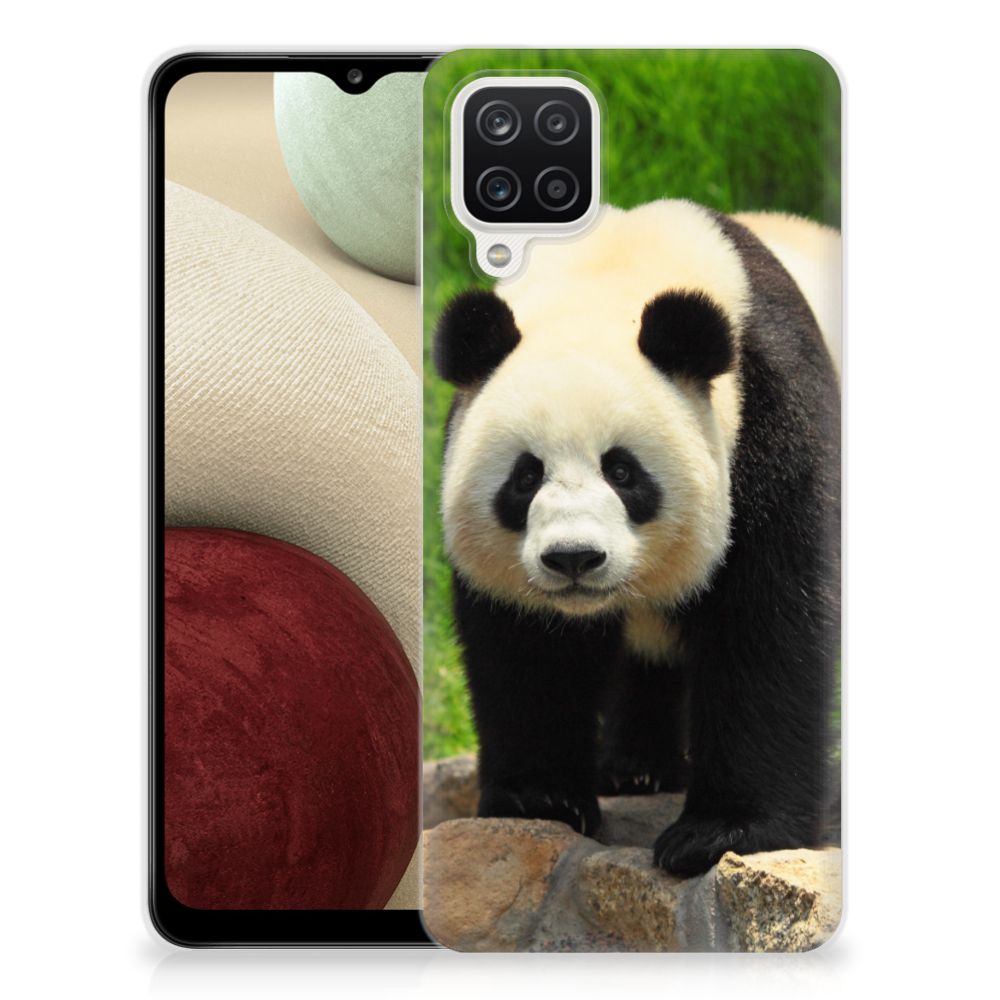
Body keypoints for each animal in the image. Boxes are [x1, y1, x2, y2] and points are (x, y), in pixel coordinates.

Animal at [433, 199, 840, 877]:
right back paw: (636, 769)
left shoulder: (773, 420)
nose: (574, 558)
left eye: (622, 472)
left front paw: (721, 833)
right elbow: (527, 648)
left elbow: (768, 624)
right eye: (525, 476)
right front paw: (540, 799)